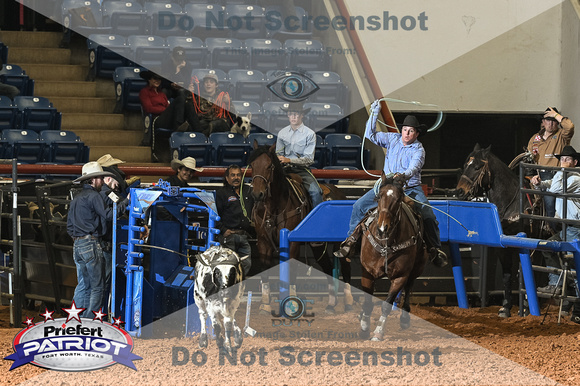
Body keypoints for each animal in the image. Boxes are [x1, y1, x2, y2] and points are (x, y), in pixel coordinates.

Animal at [247, 142, 352, 314]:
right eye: (252, 165)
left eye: (269, 166)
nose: (258, 194)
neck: (276, 206)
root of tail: (341, 194)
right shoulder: (263, 242)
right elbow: (265, 271)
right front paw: (265, 305)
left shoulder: (293, 244)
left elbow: (292, 271)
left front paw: (291, 305)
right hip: (318, 247)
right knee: (328, 268)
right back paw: (331, 304)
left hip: (341, 242)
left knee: (345, 265)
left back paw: (348, 302)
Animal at [358, 173, 426, 340]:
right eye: (379, 196)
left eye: (398, 198)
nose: (383, 227)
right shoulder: (367, 272)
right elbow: (368, 303)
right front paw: (364, 329)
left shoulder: (400, 276)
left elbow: (386, 305)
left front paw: (378, 332)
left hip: (417, 267)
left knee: (409, 286)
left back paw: (405, 319)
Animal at [456, 143, 548, 318]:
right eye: (465, 165)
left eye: (477, 167)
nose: (459, 191)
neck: (513, 204)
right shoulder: (503, 247)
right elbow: (507, 275)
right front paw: (505, 307)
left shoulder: (527, 245)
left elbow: (525, 272)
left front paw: (526, 308)